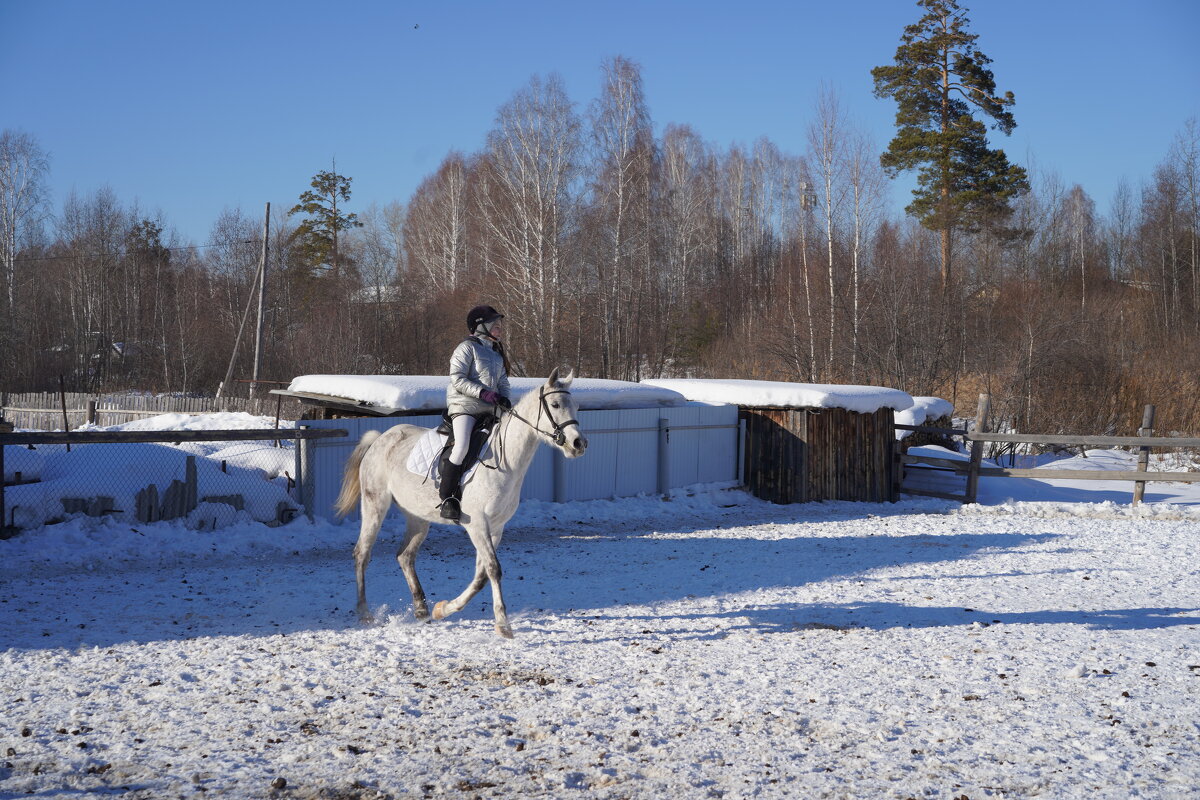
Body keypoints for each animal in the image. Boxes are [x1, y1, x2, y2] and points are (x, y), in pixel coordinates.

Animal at [333, 367, 585, 638]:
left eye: (576, 406)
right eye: (555, 404)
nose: (578, 444)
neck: (504, 461)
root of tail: (381, 439)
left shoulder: (495, 528)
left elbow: (481, 575)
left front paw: (443, 609)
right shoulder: (477, 525)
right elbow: (493, 569)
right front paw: (504, 624)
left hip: (417, 516)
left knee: (405, 556)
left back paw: (422, 610)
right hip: (375, 505)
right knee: (362, 553)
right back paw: (365, 613)